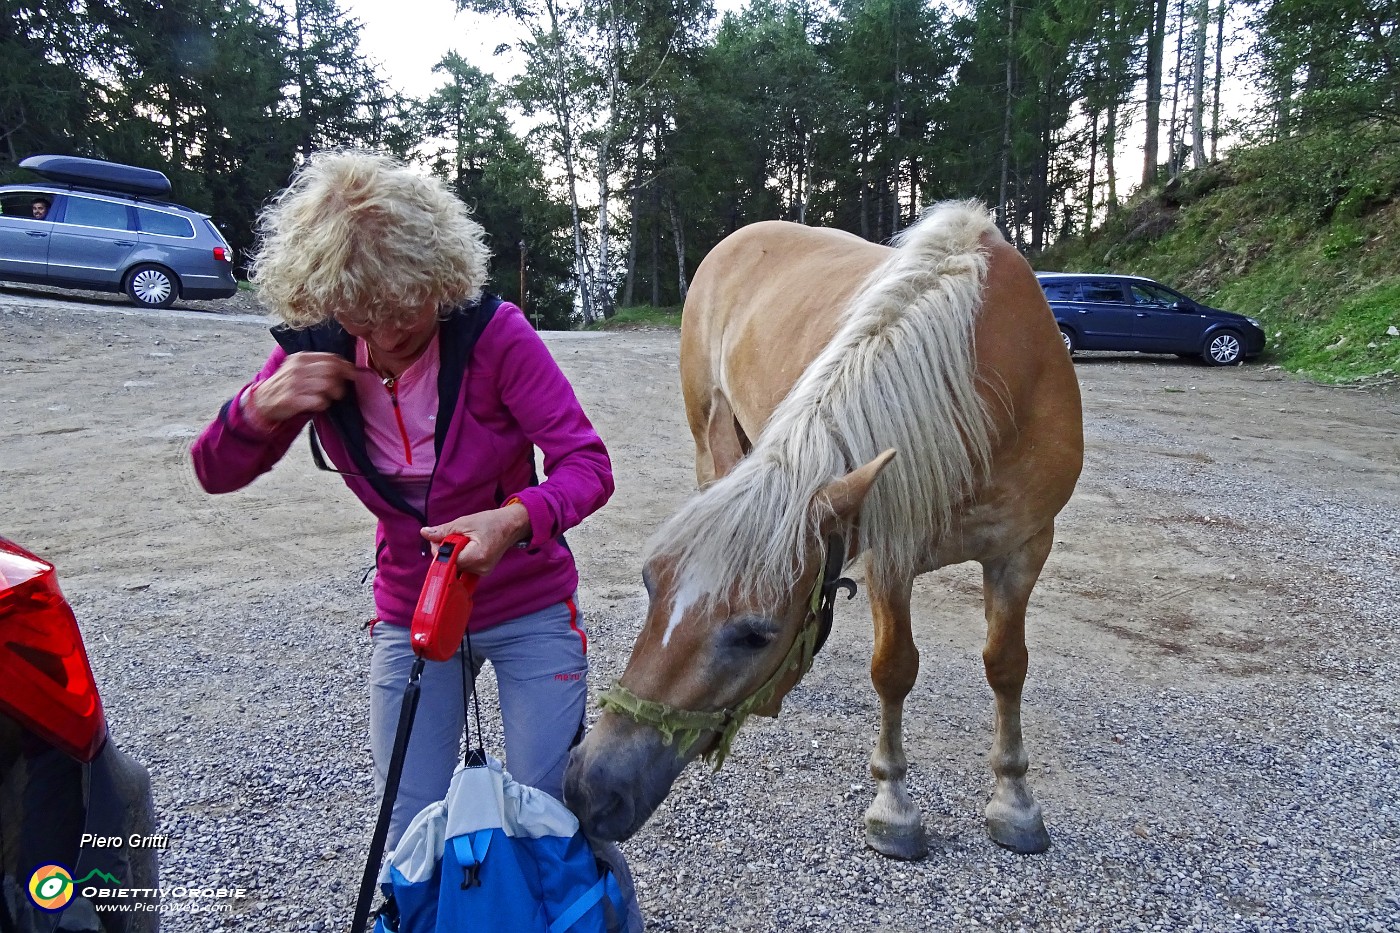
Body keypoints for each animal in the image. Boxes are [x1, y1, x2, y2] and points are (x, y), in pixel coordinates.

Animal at [565, 201, 1080, 857]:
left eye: (756, 635)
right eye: (650, 586)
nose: (591, 787)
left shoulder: (1025, 546)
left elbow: (1007, 665)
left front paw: (1014, 800)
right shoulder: (891, 554)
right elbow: (894, 668)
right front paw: (894, 807)